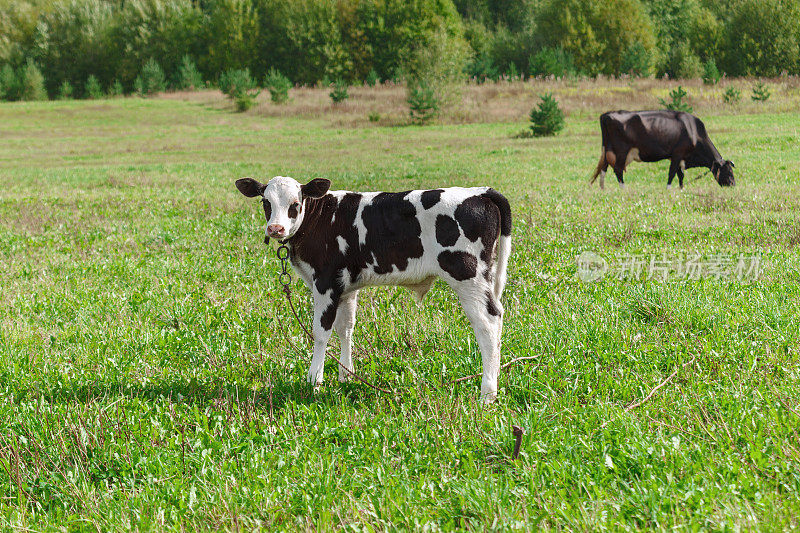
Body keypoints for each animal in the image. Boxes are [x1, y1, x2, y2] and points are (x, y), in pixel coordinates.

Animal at [238, 177, 512, 402]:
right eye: (266, 202)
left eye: (295, 203)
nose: (276, 229)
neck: (320, 218)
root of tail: (479, 192)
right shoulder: (346, 287)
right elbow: (345, 328)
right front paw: (346, 376)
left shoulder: (325, 283)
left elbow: (321, 332)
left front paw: (314, 380)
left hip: (467, 275)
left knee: (488, 323)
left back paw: (487, 393)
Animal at [592, 110, 736, 189]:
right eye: (728, 171)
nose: (733, 184)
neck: (693, 131)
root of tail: (606, 114)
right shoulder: (677, 154)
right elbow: (672, 173)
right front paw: (668, 189)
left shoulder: (679, 157)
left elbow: (680, 175)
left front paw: (681, 189)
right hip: (622, 150)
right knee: (618, 169)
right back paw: (623, 188)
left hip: (607, 150)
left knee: (604, 169)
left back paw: (603, 189)